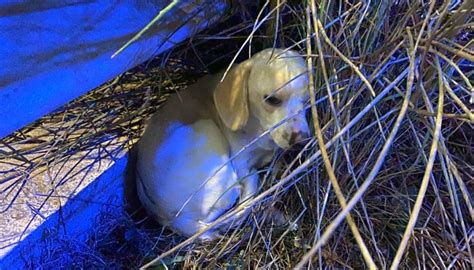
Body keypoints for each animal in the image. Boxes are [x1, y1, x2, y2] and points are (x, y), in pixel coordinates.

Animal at [135, 48, 310, 238]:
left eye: (307, 100)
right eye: (272, 99)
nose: (302, 140)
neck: (259, 131)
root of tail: (177, 222)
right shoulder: (241, 164)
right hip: (208, 130)